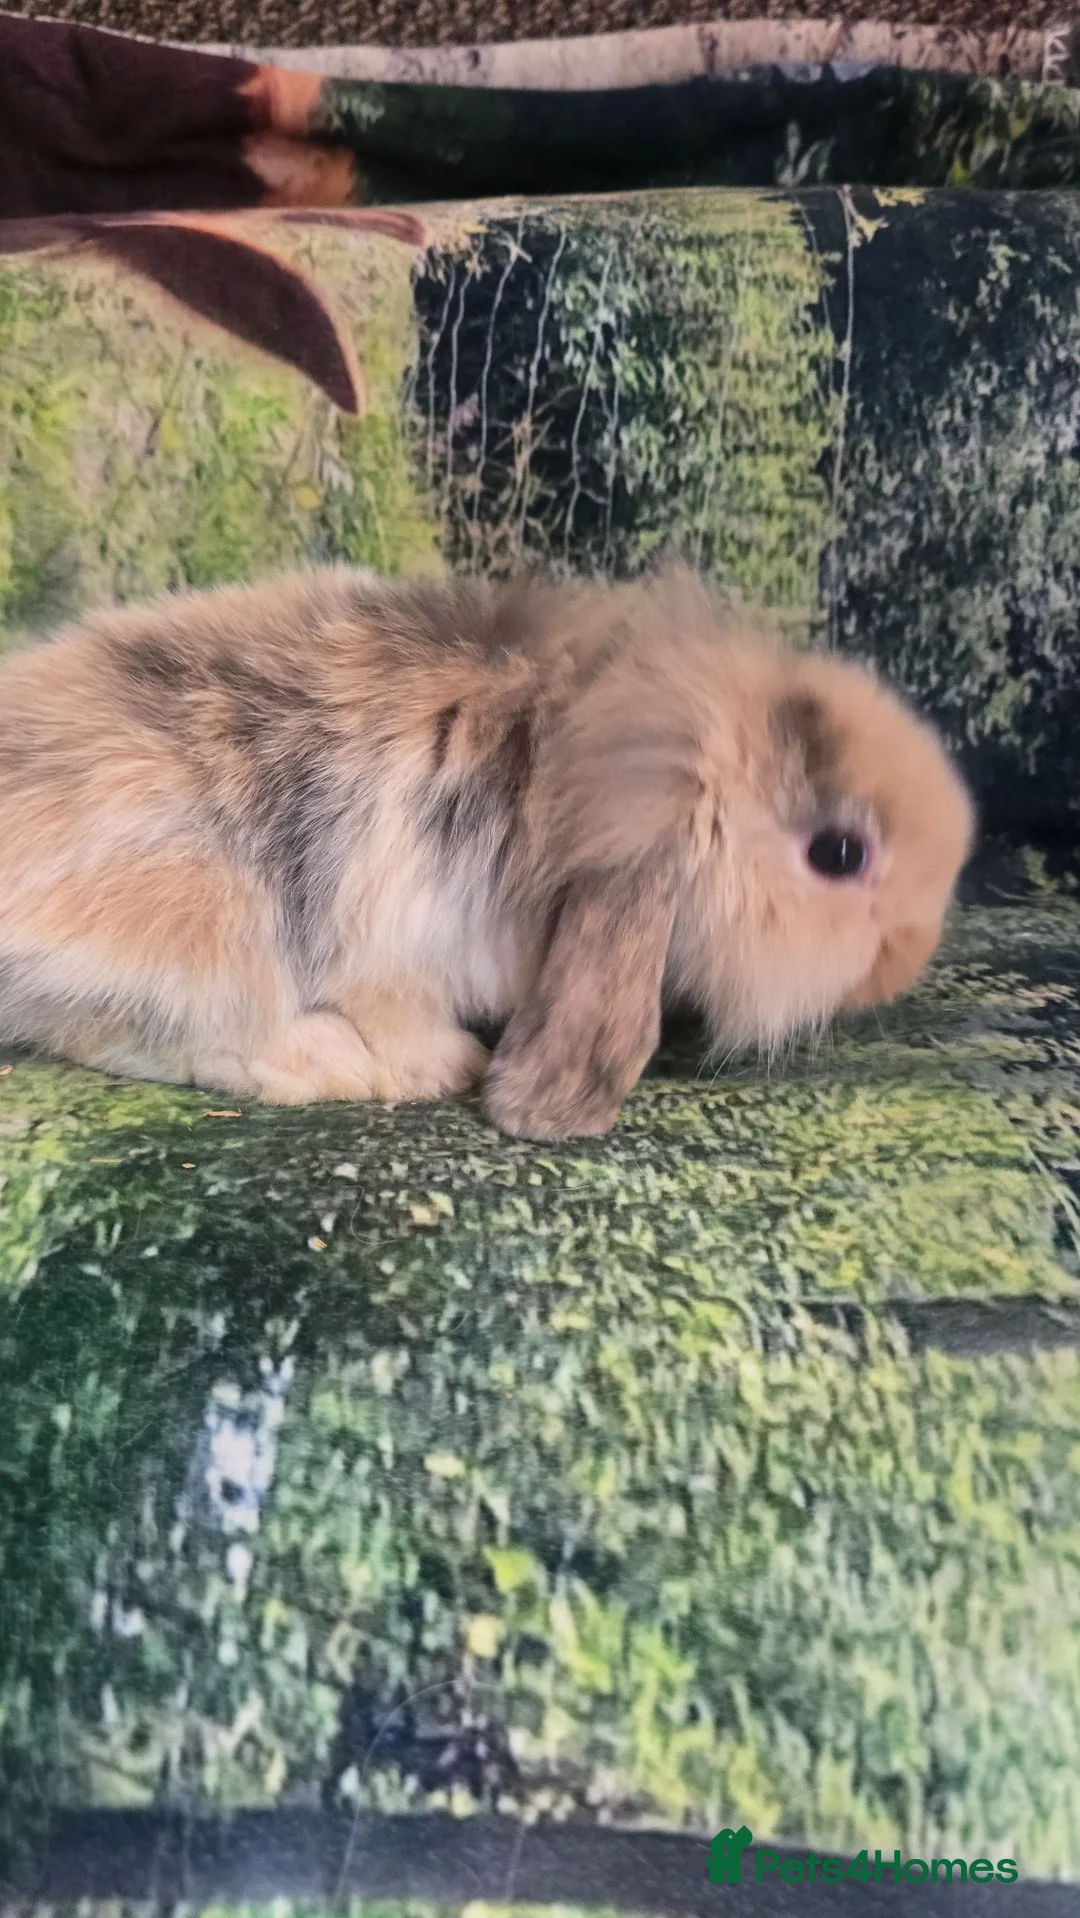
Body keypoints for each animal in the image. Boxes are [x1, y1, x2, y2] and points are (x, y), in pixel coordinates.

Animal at [0, 561, 973, 1140]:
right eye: (839, 854)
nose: (908, 957)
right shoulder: (392, 935)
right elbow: (395, 1006)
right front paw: (446, 1067)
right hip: (202, 915)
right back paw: (324, 1063)